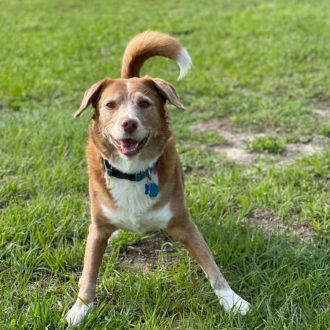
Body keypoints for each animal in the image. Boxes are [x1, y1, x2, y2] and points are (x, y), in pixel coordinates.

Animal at [65, 31, 249, 328]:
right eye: (110, 105)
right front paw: (80, 308)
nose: (128, 123)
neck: (133, 172)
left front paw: (233, 301)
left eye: (145, 103)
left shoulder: (183, 224)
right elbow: (89, 272)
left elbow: (211, 265)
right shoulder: (98, 229)